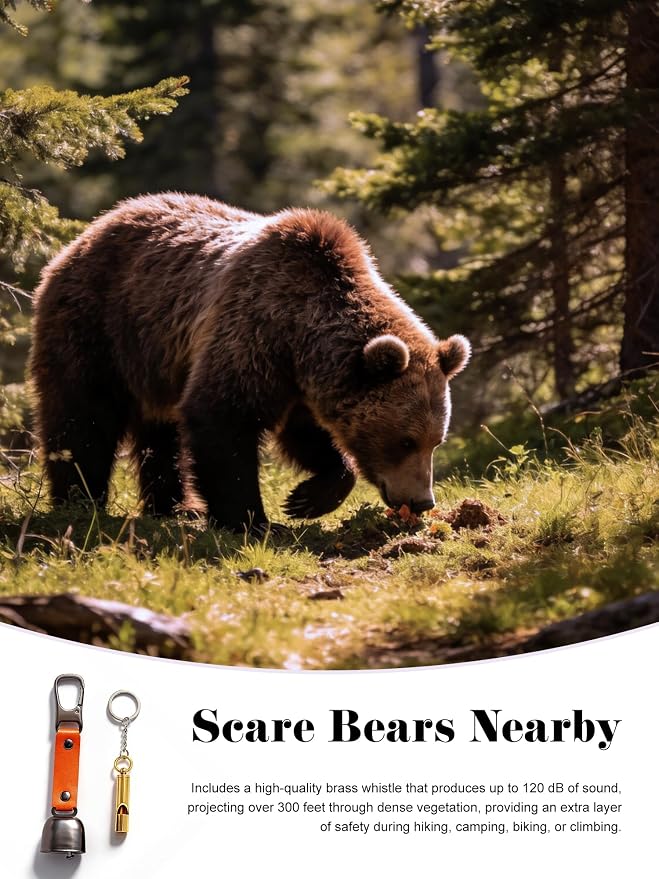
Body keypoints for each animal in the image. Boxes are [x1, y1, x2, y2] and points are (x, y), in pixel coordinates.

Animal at [30, 193, 470, 533]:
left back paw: (175, 506)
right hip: (99, 326)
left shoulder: (300, 381)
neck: (302, 334)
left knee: (160, 432)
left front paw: (307, 498)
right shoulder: (253, 331)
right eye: (405, 440)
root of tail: (90, 229)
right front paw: (250, 520)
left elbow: (305, 435)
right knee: (82, 415)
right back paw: (80, 500)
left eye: (437, 440)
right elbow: (222, 418)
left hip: (155, 358)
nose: (423, 501)